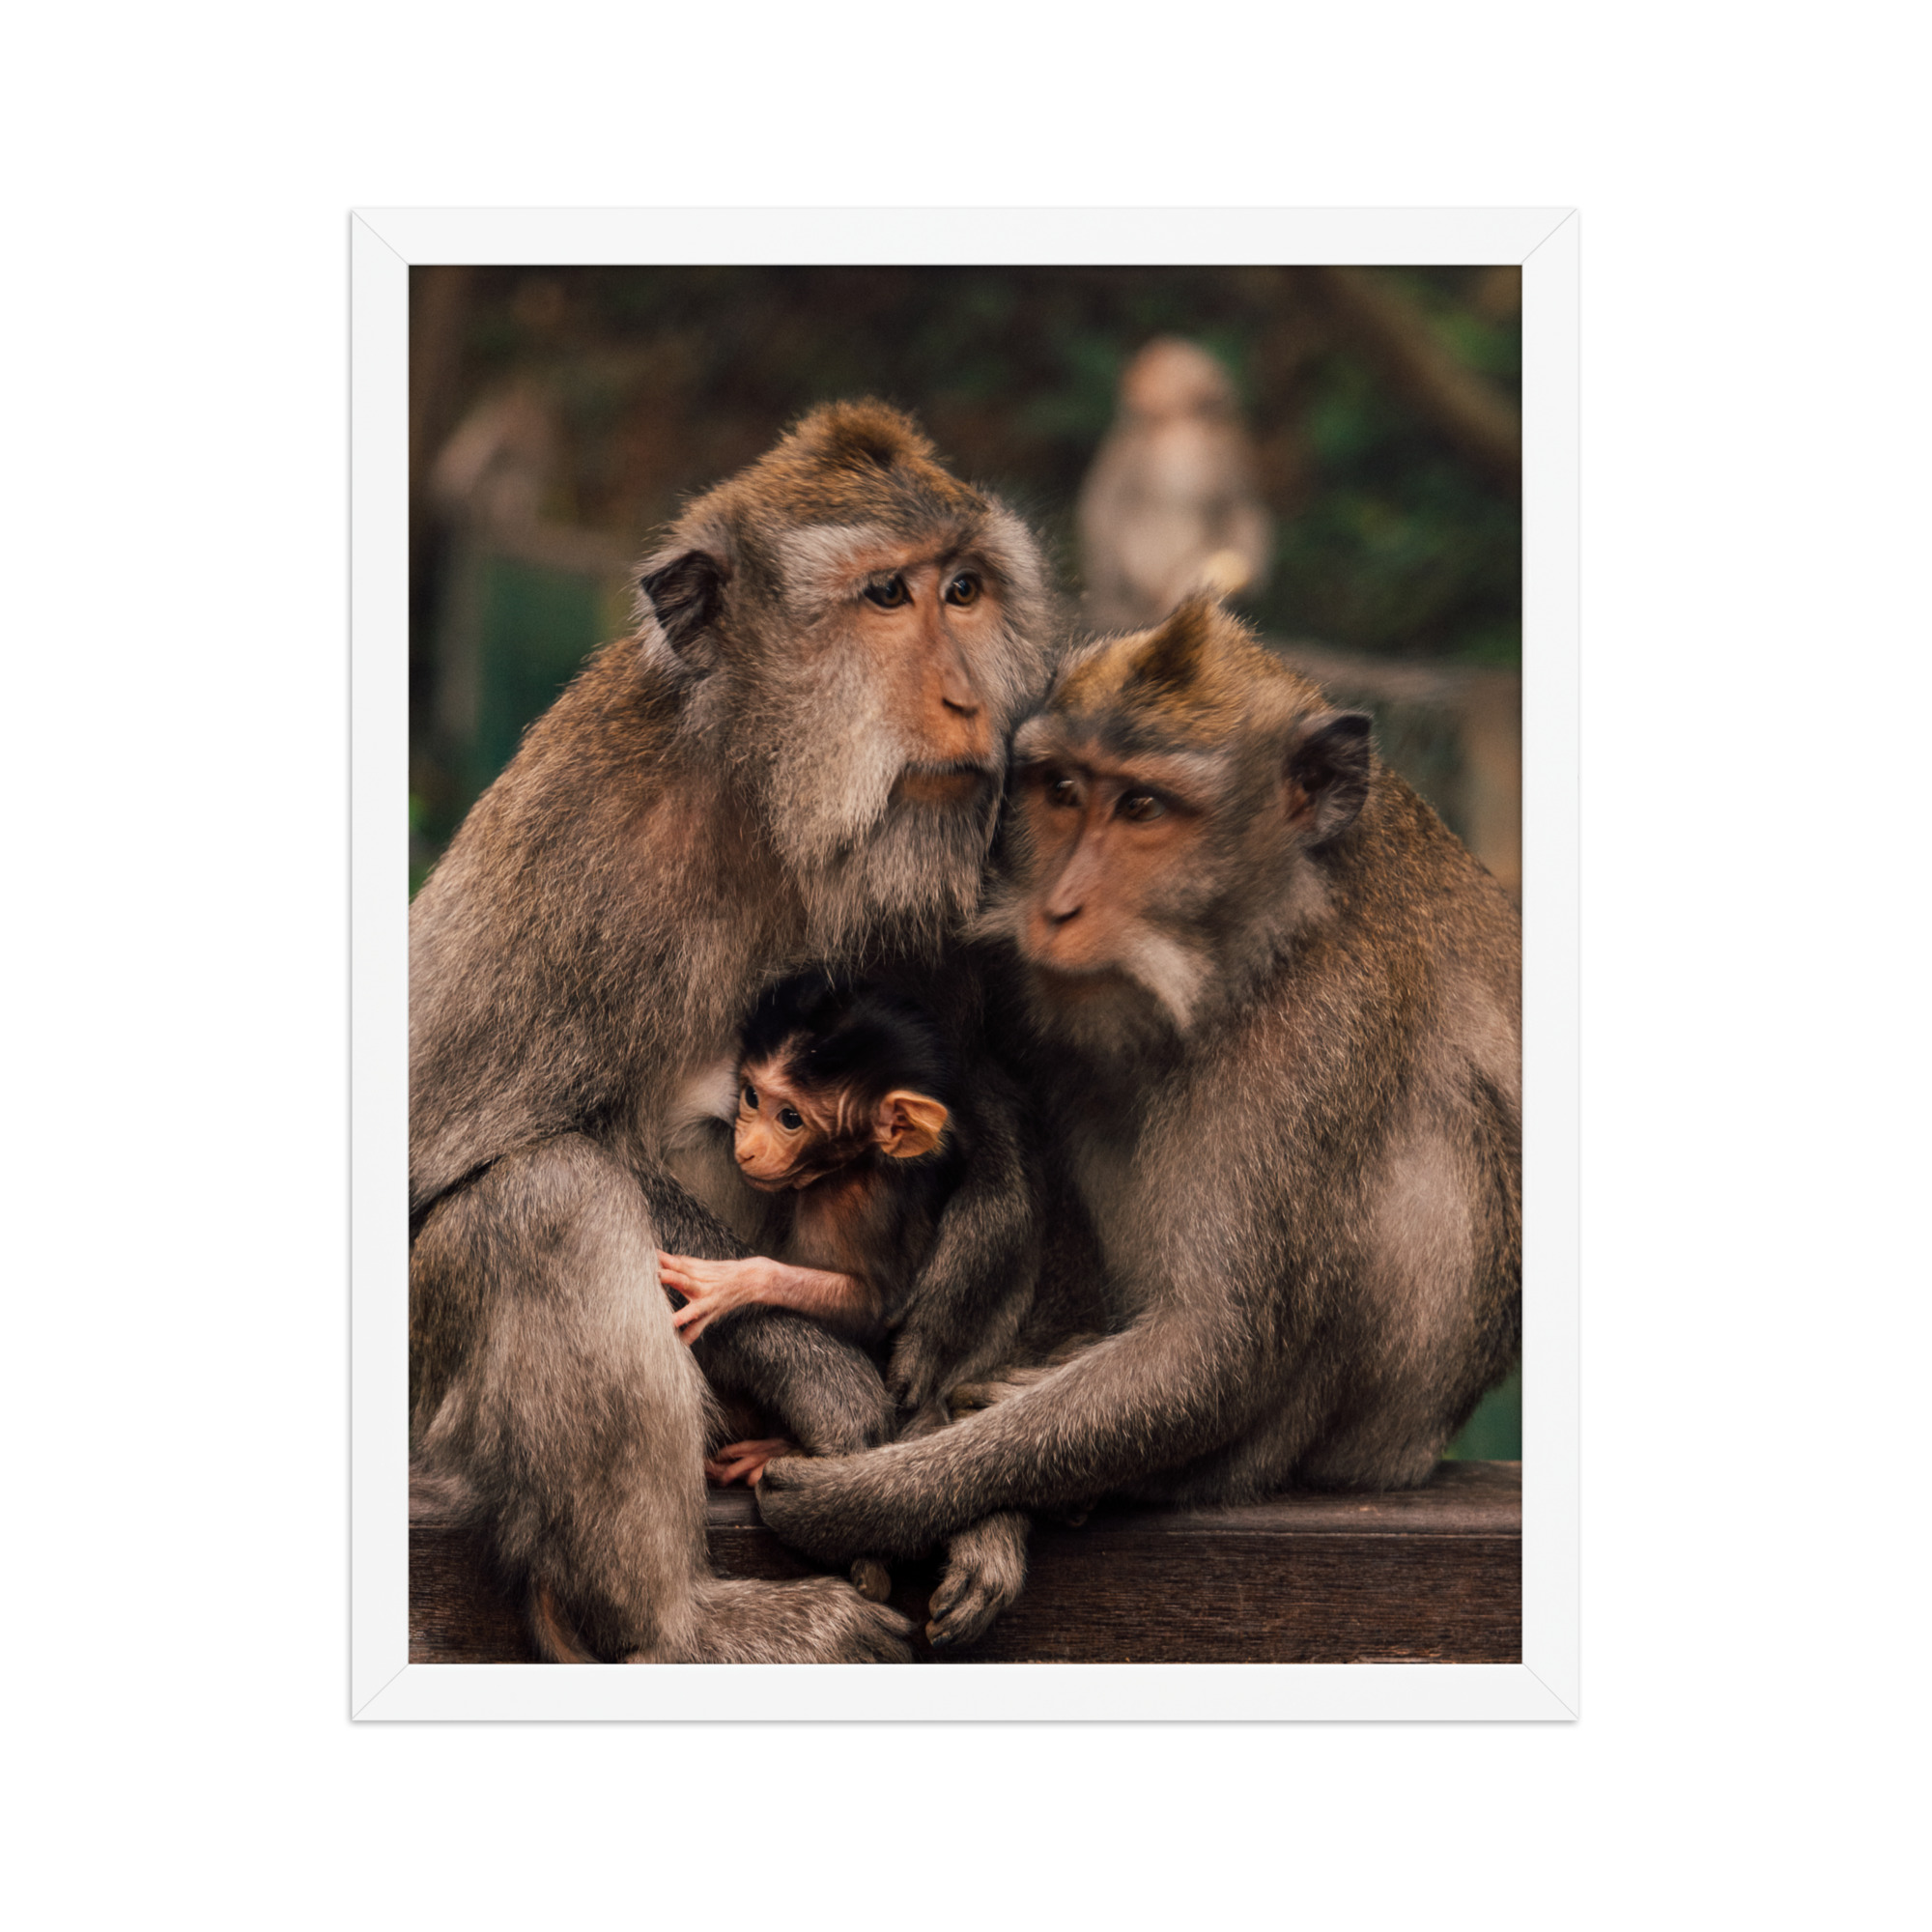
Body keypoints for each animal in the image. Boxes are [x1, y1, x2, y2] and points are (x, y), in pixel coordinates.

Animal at [408, 401, 1058, 1662]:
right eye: (884, 597)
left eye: (963, 589)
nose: (970, 702)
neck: (770, 803)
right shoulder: (582, 839)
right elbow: (446, 1167)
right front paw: (831, 1384)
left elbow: (976, 1090)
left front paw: (987, 1240)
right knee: (543, 1199)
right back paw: (677, 1623)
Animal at [753, 594, 1522, 1577]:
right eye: (1063, 790)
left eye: (1144, 807)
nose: (1057, 908)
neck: (1256, 936)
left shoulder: (1321, 1019)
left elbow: (1213, 1348)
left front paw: (874, 1499)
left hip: (1381, 1431)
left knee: (1441, 1130)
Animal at [1076, 339, 1274, 630]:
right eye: (1131, 395)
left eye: (1145, 394)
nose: (1129, 409)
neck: (1179, 428)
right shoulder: (1132, 443)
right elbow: (1106, 506)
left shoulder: (1228, 444)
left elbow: (1239, 508)